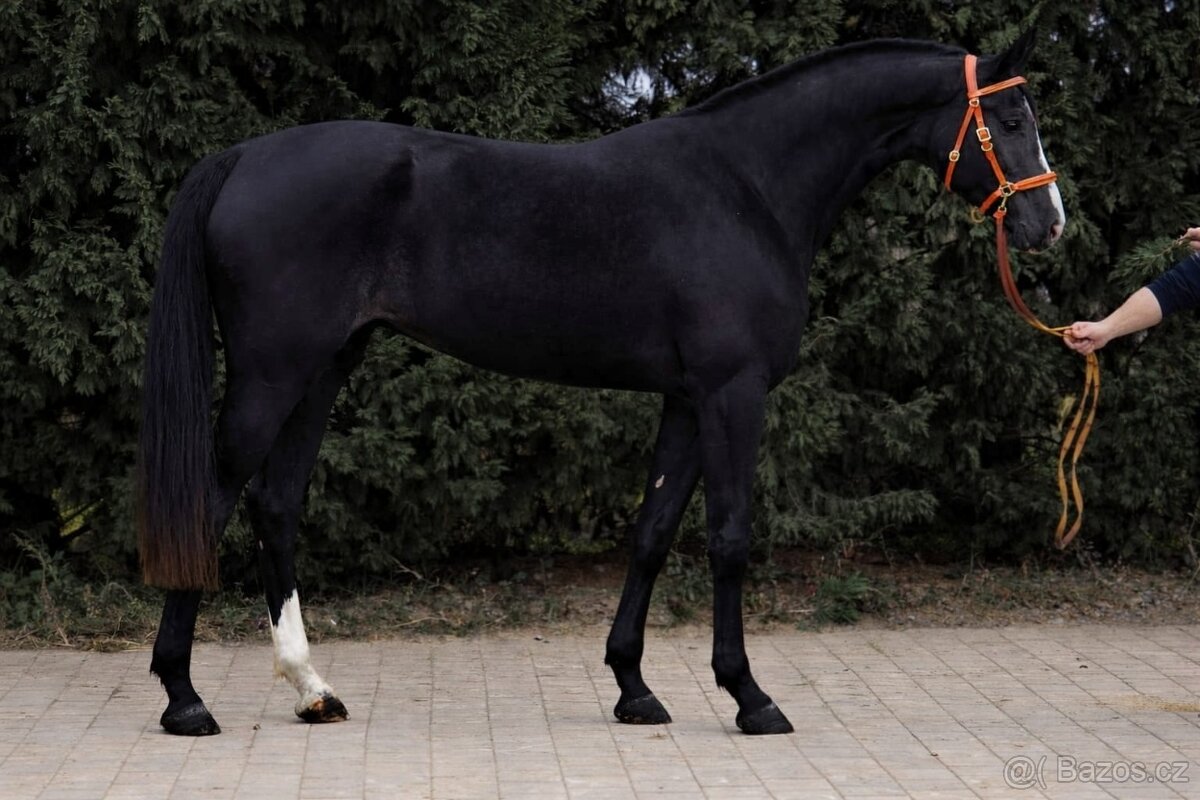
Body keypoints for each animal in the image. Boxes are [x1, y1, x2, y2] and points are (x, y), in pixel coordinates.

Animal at [138, 31, 1066, 737]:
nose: (1049, 223)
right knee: (209, 502)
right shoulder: (732, 393)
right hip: (274, 372)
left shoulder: (687, 399)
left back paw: (312, 689)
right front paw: (751, 697)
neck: (746, 187)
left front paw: (634, 687)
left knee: (276, 503)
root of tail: (242, 157)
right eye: (1011, 117)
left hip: (326, 366)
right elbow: (729, 538)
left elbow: (652, 532)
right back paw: (184, 699)